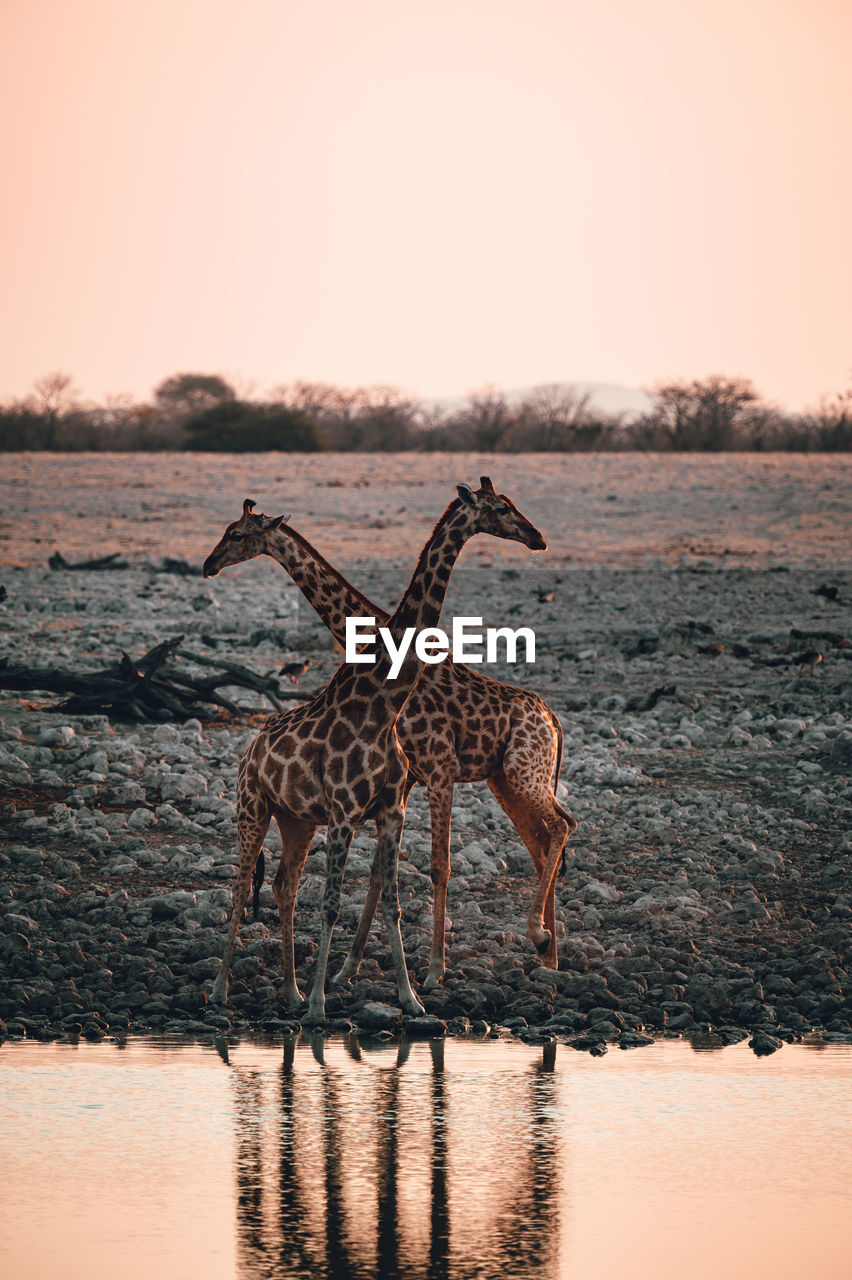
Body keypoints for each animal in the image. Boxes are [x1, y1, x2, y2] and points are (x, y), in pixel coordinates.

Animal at [204, 481, 578, 988]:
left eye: (238, 534)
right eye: (503, 507)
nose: (209, 564)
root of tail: (553, 719)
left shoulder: (436, 769)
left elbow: (437, 867)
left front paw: (433, 970)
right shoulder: (409, 780)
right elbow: (382, 876)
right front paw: (348, 969)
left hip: (524, 774)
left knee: (560, 827)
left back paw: (542, 940)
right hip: (507, 779)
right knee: (543, 844)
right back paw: (548, 955)